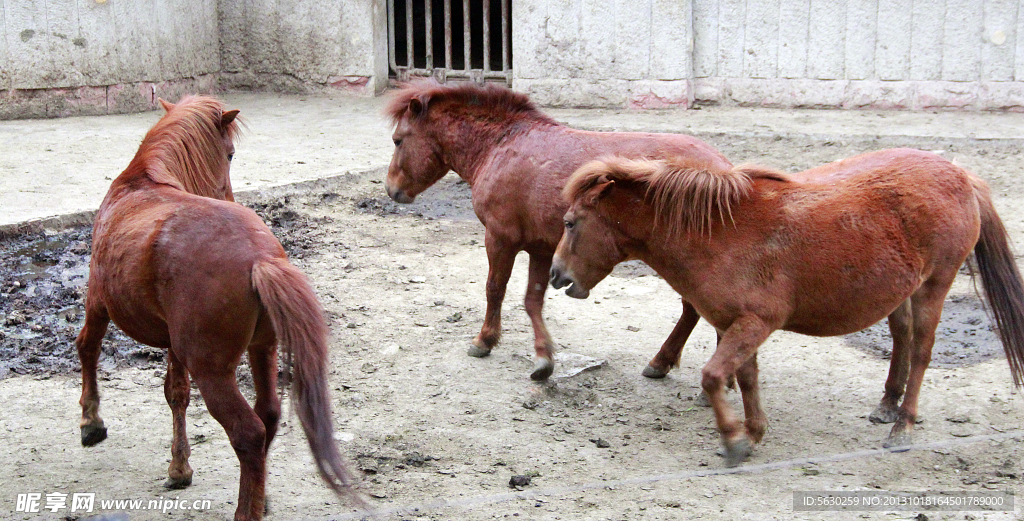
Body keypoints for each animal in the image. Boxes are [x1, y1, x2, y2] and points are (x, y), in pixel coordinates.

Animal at [75, 95, 358, 517]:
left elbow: (88, 347)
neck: (143, 181)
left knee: (248, 431)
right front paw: (179, 467)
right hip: (262, 350)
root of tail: (260, 258)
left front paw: (91, 422)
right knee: (268, 414)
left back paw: (246, 510)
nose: (229, 196)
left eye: (230, 153)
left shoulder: (98, 300)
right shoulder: (175, 343)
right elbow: (176, 393)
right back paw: (260, 496)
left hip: (212, 370)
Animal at [382, 82, 729, 382]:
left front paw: (484, 340)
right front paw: (543, 357)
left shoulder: (499, 238)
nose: (391, 190)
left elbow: (495, 289)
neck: (501, 145)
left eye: (398, 140)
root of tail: (722, 169)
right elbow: (532, 300)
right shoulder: (540, 248)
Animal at [552, 147, 1024, 466]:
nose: (558, 276)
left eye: (571, 223)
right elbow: (745, 379)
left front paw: (734, 441)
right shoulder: (738, 324)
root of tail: (960, 175)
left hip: (935, 286)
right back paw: (888, 404)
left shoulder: (754, 323)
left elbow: (713, 376)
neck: (718, 233)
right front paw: (753, 432)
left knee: (923, 353)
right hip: (902, 291)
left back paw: (902, 425)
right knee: (902, 338)